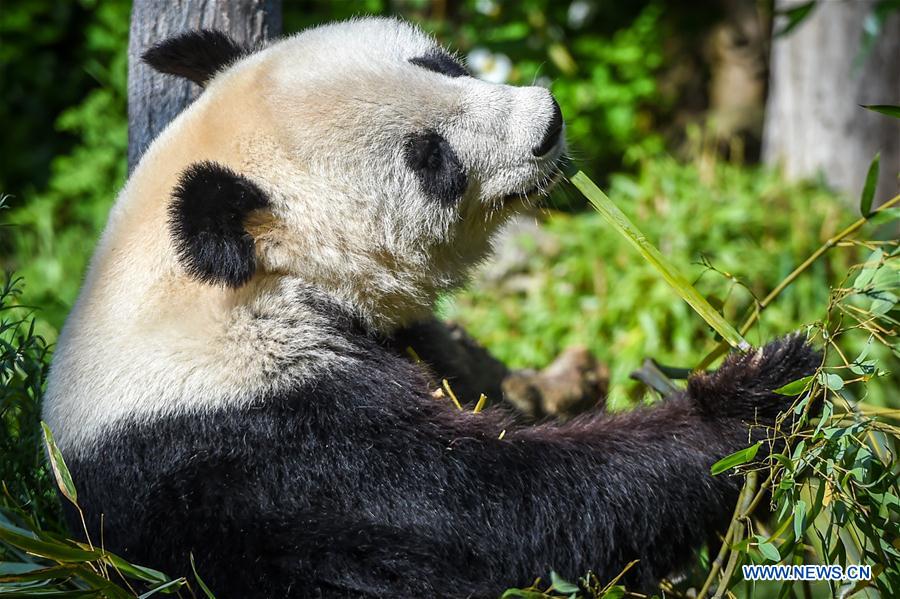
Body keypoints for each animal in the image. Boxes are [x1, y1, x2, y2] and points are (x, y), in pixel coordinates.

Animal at [43, 17, 819, 599]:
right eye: (431, 158)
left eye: (441, 63)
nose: (548, 122)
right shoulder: (260, 446)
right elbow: (503, 515)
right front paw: (752, 395)